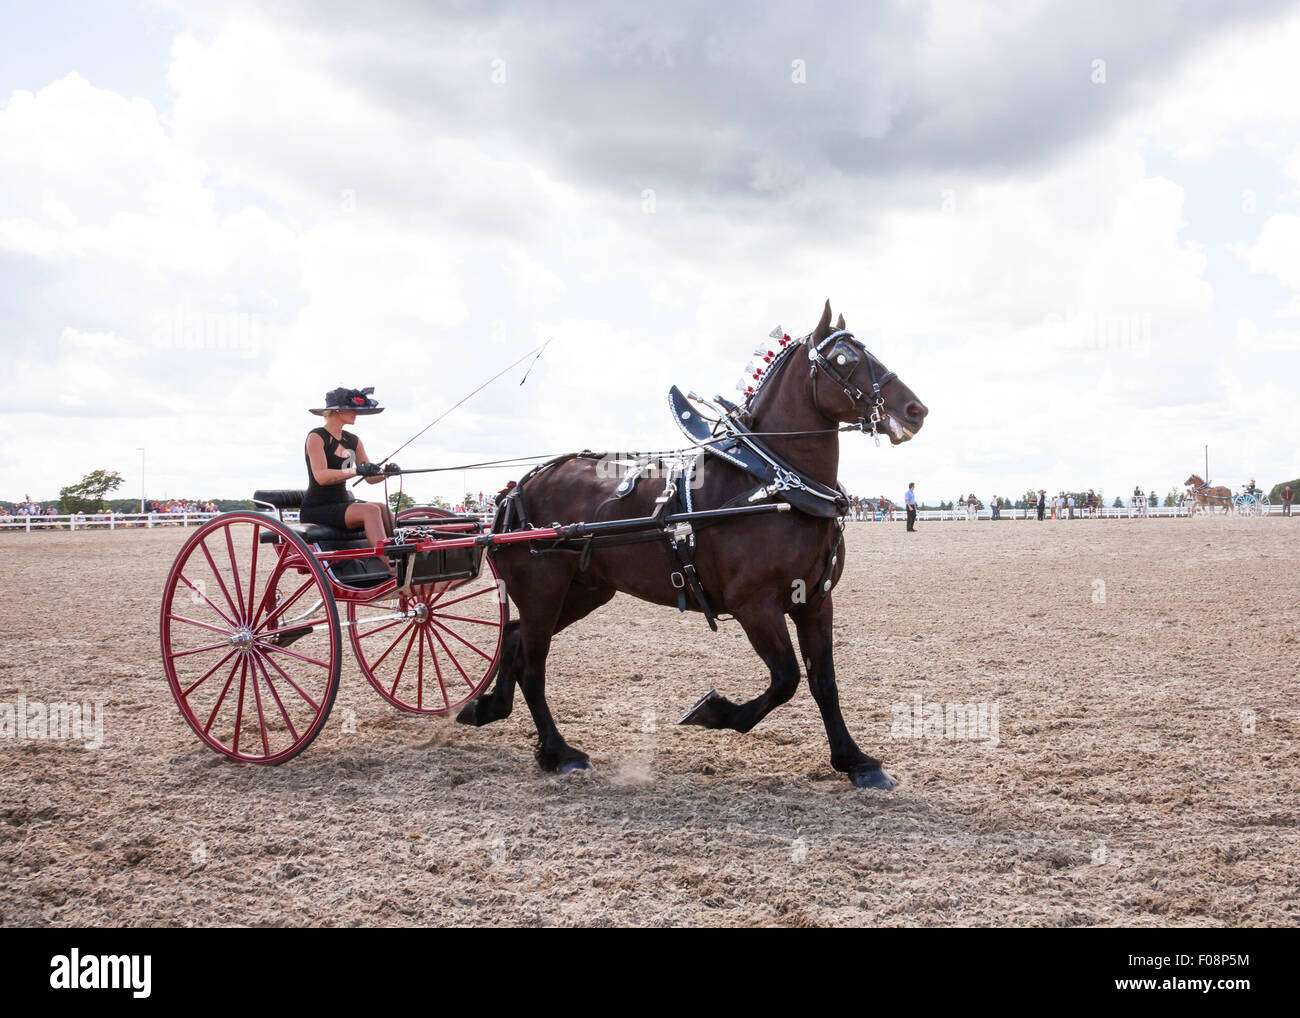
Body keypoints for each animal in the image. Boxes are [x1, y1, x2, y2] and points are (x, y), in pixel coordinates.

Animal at [457, 301, 928, 789]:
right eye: (844, 358)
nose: (916, 410)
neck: (774, 480)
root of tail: (516, 489)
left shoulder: (815, 601)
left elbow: (824, 683)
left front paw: (856, 761)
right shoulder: (754, 605)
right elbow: (786, 678)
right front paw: (713, 711)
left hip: (582, 592)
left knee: (514, 638)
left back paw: (489, 708)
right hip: (543, 591)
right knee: (533, 667)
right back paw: (558, 751)